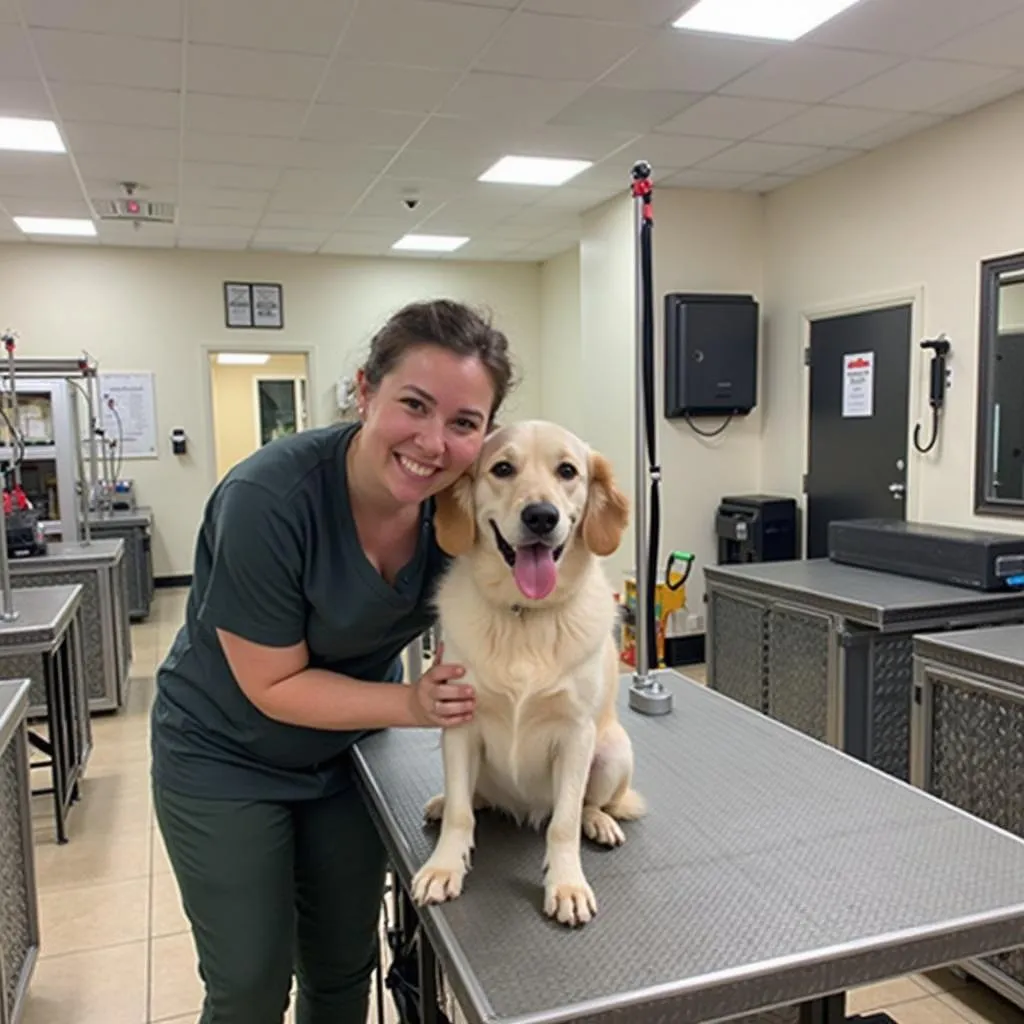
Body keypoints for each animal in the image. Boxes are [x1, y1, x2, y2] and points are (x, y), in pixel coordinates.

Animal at [409, 415, 643, 929]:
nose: (541, 516)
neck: (524, 614)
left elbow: (563, 825)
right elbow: (461, 815)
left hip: (613, 752)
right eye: (502, 468)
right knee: (471, 800)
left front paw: (567, 884)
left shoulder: (576, 735)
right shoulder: (460, 722)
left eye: (567, 471)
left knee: (585, 805)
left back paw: (599, 821)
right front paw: (444, 866)